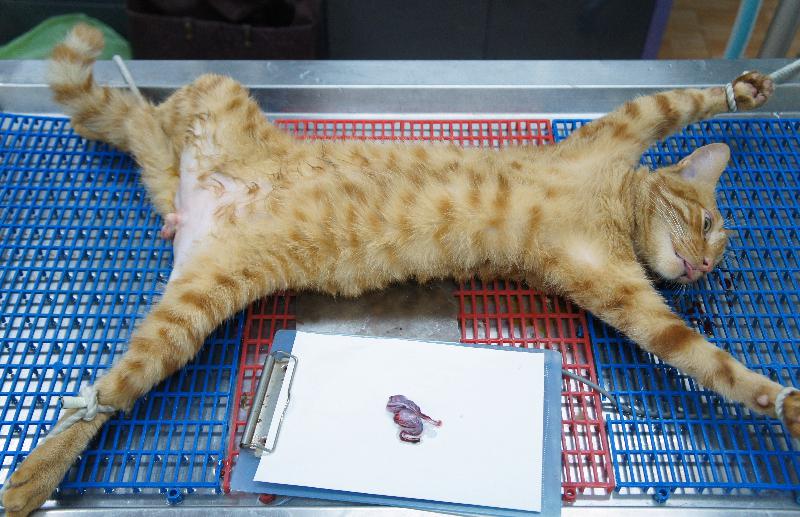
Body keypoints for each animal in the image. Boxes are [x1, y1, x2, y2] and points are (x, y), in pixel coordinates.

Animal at [2, 23, 798, 516]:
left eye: (714, 250)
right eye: (708, 223)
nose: (701, 266)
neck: (611, 205)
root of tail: (200, 199)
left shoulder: (632, 301)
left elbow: (714, 365)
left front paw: (782, 401)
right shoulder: (620, 130)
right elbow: (684, 100)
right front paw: (746, 89)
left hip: (188, 307)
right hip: (217, 89)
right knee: (147, 123)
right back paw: (30, 479)